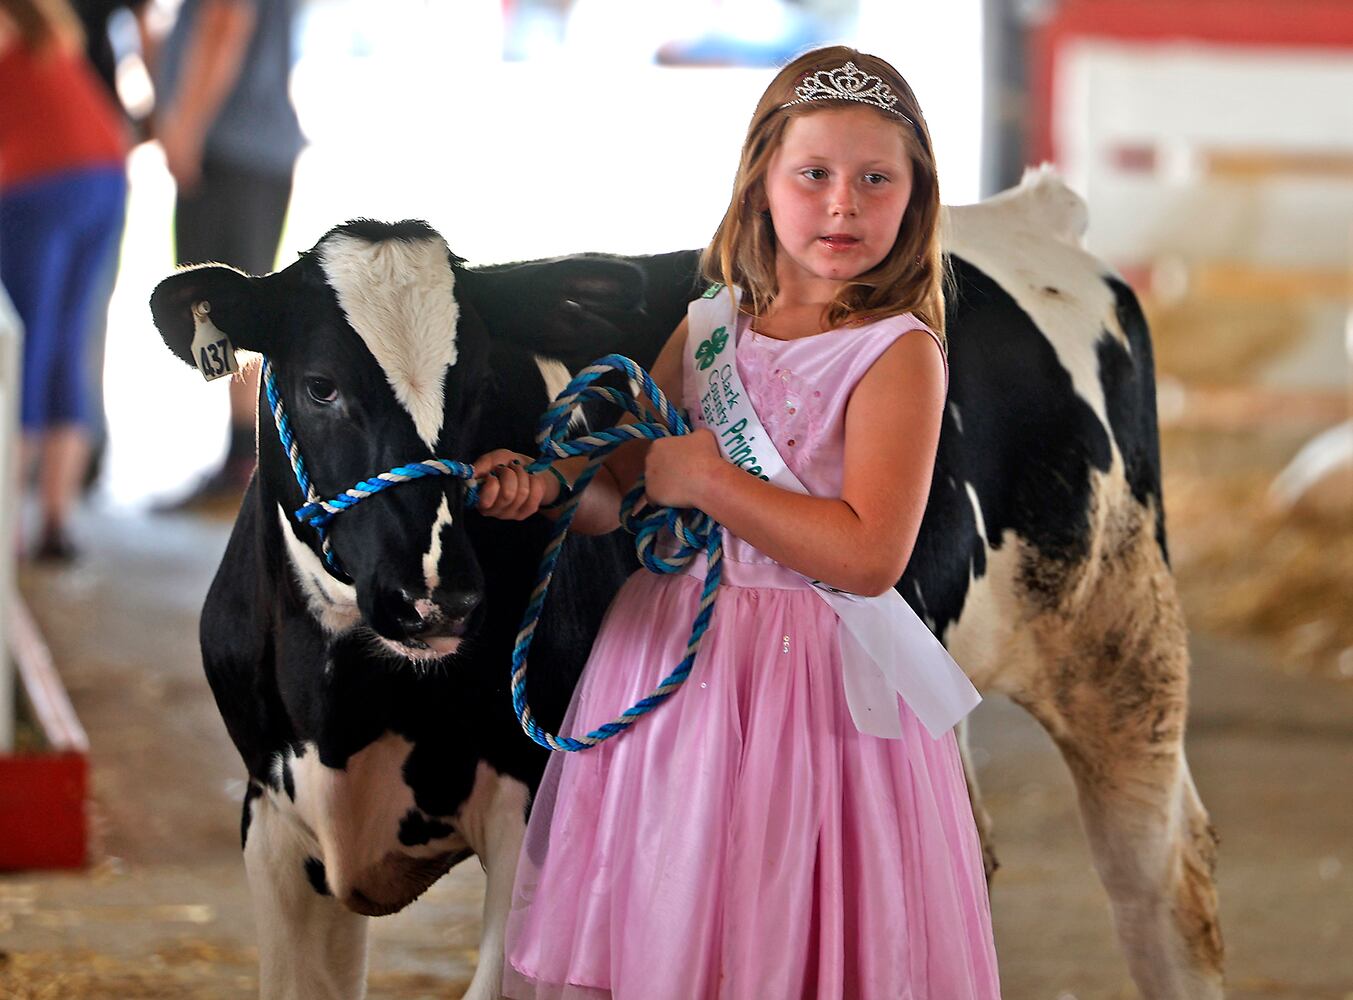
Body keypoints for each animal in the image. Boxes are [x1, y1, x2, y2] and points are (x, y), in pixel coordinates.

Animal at [150, 168, 1228, 995]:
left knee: (1161, 888)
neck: (353, 708)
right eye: (321, 383)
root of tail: (1022, 216)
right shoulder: (275, 824)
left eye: (484, 384)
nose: (437, 593)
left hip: (1119, 642)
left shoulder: (533, 808)